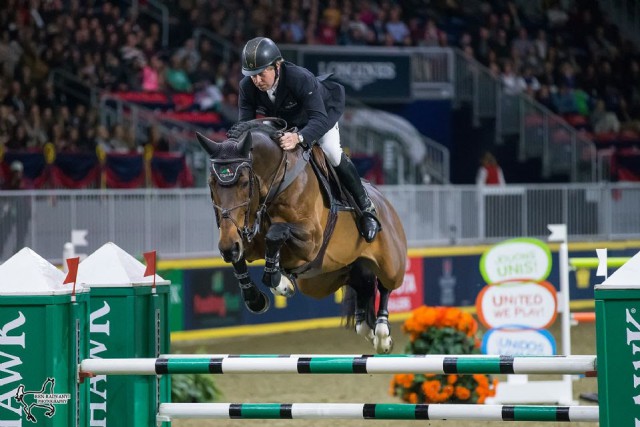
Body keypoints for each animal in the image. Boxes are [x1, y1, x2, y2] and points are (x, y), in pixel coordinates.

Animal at [195, 120, 408, 354]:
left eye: (243, 182)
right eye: (211, 183)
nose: (227, 248)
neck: (276, 183)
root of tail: (386, 203)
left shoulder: (311, 241)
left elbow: (275, 234)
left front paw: (280, 282)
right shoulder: (243, 237)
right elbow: (242, 255)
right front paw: (258, 296)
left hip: (390, 264)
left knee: (385, 285)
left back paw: (382, 334)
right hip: (324, 278)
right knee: (363, 283)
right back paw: (367, 328)